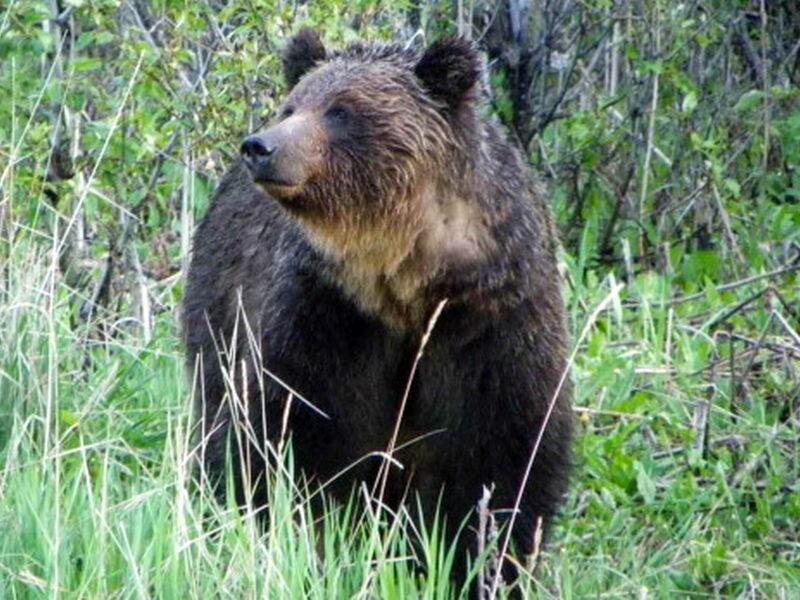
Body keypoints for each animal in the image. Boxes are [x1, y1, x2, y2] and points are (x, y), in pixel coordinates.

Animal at [182, 28, 573, 591]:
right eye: (293, 105)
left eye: (341, 110)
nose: (261, 146)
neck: (407, 278)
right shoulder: (329, 314)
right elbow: (288, 433)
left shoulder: (490, 319)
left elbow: (502, 460)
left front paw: (481, 567)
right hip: (218, 313)